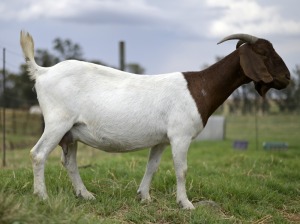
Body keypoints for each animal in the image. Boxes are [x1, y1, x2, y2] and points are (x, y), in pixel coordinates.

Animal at [19, 30, 290, 209]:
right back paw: (42, 197)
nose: (287, 78)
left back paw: (85, 195)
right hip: (58, 122)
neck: (200, 88)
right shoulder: (180, 135)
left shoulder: (161, 140)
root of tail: (43, 72)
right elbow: (182, 169)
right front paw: (186, 204)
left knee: (70, 162)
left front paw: (144, 196)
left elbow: (153, 166)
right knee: (38, 154)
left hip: (71, 132)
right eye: (264, 52)